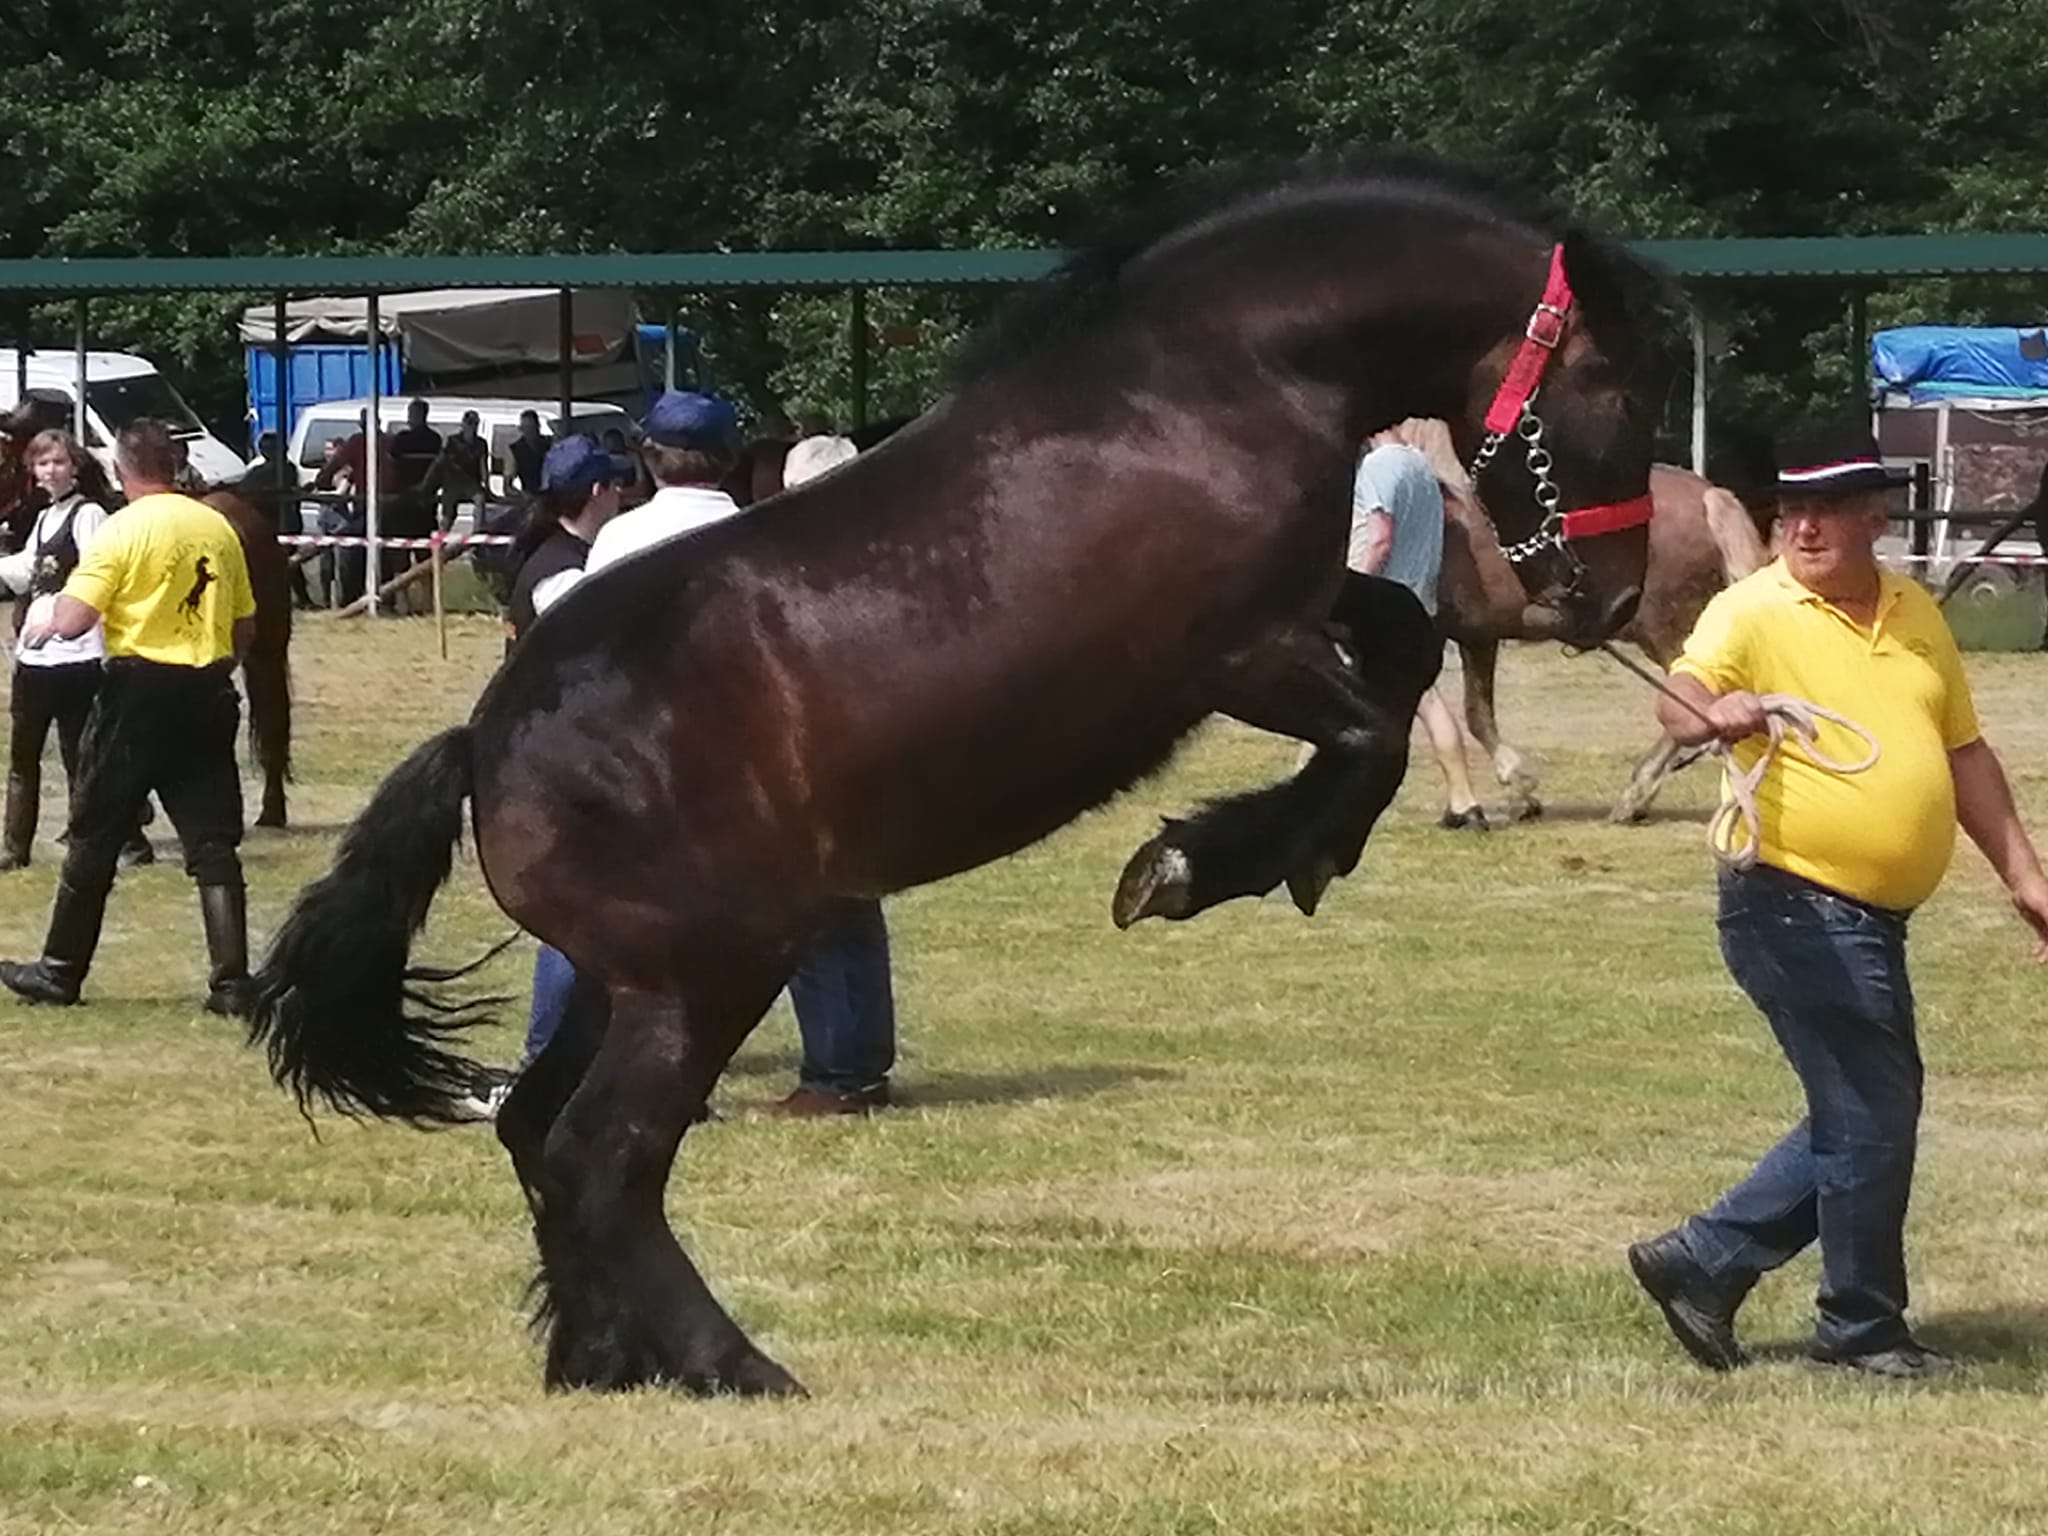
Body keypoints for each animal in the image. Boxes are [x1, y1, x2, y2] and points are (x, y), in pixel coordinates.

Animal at [243, 153, 1679, 1392]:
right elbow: (1369, 729)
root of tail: (488, 745)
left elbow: (1404, 641)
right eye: (1619, 393)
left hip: (623, 978)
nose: (1613, 595)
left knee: (538, 1133)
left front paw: (1288, 847)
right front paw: (1199, 863)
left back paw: (605, 1356)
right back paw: (731, 1363)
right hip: (709, 974)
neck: (1208, 388)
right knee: (606, 1155)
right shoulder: (1239, 654)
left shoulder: (1311, 610)